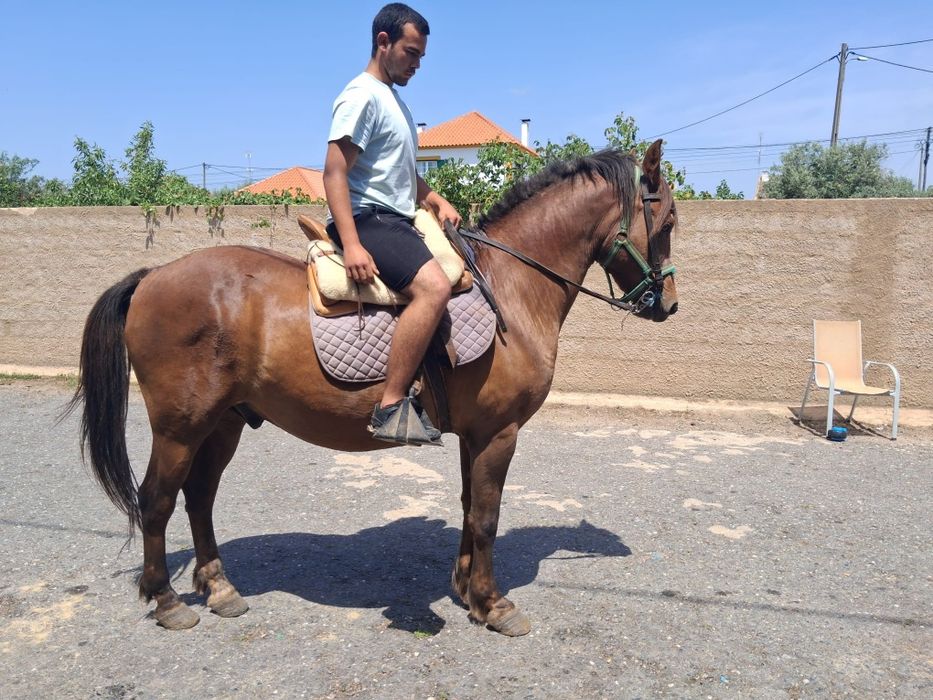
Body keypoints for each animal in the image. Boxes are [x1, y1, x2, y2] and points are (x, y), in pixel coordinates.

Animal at [70, 139, 678, 636]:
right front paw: (494, 604)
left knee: (198, 496)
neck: (508, 284)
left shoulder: (475, 434)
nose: (669, 305)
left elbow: (468, 506)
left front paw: (466, 592)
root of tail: (151, 276)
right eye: (669, 220)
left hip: (222, 423)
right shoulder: (499, 432)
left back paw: (219, 589)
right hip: (180, 426)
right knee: (157, 499)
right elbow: (486, 517)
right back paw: (167, 600)